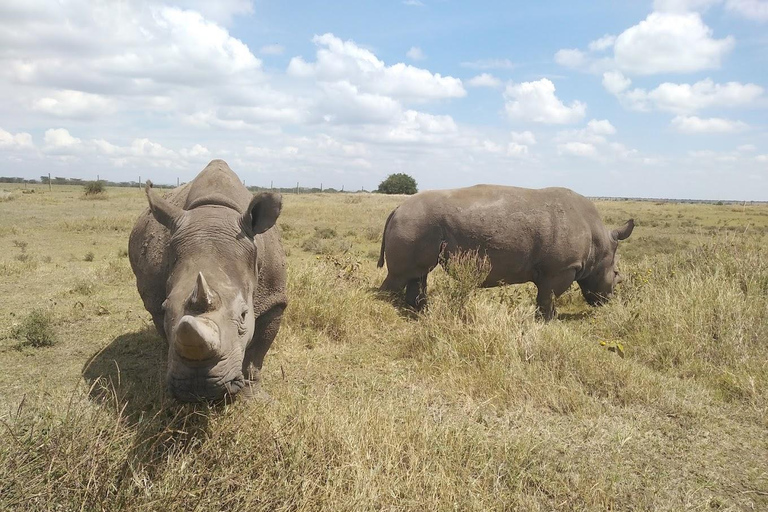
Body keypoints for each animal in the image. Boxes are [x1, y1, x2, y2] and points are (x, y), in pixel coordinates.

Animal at [129, 160, 288, 400]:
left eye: (244, 315)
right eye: (166, 309)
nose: (199, 388)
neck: (214, 212)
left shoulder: (273, 299)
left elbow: (257, 353)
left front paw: (253, 396)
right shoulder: (156, 304)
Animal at [378, 184, 636, 320]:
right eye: (616, 275)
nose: (606, 301)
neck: (598, 243)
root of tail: (397, 208)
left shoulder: (558, 268)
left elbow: (546, 296)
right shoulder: (560, 268)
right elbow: (548, 297)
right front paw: (546, 322)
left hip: (417, 223)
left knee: (418, 274)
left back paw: (419, 313)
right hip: (414, 221)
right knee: (401, 275)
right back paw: (386, 307)